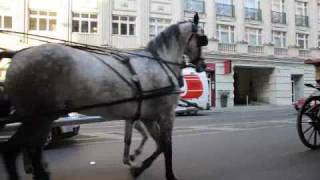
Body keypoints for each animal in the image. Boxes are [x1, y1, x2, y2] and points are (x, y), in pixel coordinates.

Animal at [0, 13, 208, 180]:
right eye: (202, 39)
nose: (202, 65)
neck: (159, 63)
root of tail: (17, 57)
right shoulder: (166, 115)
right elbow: (167, 146)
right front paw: (168, 174)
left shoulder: (148, 116)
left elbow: (159, 145)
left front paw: (138, 167)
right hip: (40, 117)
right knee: (20, 149)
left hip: (39, 118)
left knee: (23, 149)